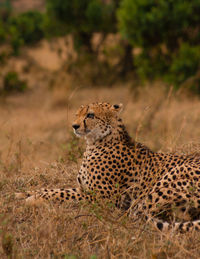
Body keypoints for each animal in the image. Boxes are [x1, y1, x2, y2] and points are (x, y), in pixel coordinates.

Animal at [17, 102, 200, 233]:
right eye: (77, 114)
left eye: (90, 115)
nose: (74, 126)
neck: (95, 142)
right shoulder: (85, 188)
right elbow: (57, 190)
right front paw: (25, 193)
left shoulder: (105, 199)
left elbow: (63, 194)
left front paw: (33, 199)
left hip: (172, 176)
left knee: (138, 214)